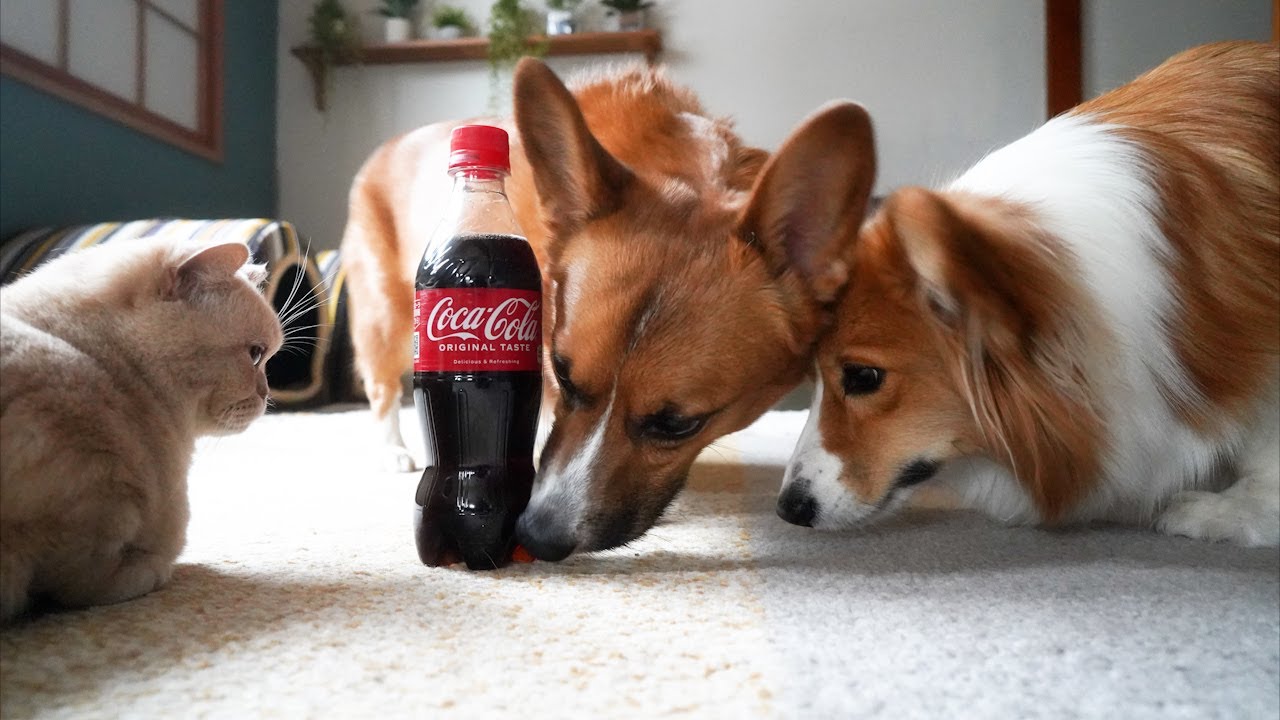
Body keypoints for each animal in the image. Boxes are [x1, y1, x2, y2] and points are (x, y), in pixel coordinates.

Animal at [343, 58, 880, 558]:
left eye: (677, 425)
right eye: (562, 373)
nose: (537, 539)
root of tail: (383, 149)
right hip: (387, 319)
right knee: (383, 388)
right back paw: (394, 451)